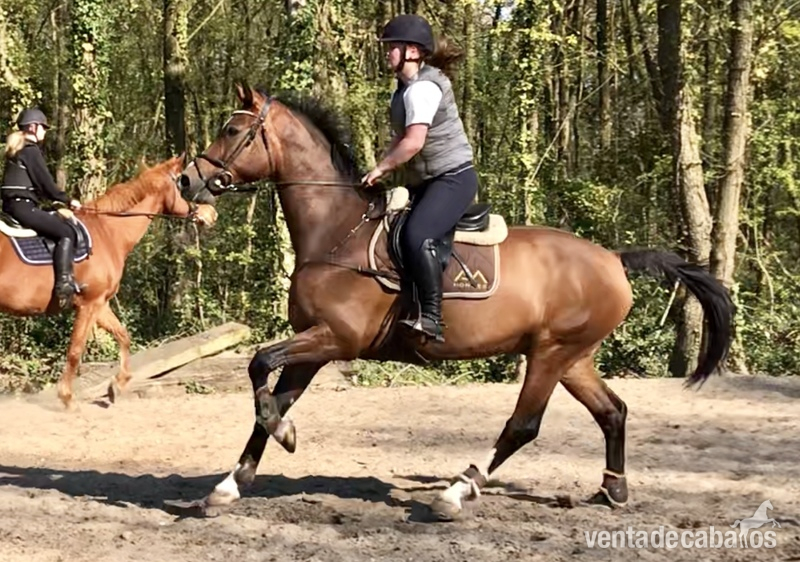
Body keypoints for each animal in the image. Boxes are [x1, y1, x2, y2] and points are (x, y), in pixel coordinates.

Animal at [0, 155, 218, 409]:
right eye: (182, 184)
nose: (210, 213)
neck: (108, 232)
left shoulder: (101, 305)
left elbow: (123, 336)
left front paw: (117, 386)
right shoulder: (89, 305)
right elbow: (75, 351)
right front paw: (67, 398)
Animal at [174, 84, 734, 521]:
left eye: (231, 130)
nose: (186, 180)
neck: (337, 232)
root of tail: (614, 259)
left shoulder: (336, 339)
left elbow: (258, 363)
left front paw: (282, 435)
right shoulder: (313, 346)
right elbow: (269, 399)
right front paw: (230, 483)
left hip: (550, 353)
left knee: (523, 426)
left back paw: (457, 492)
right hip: (573, 357)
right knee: (613, 411)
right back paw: (612, 488)